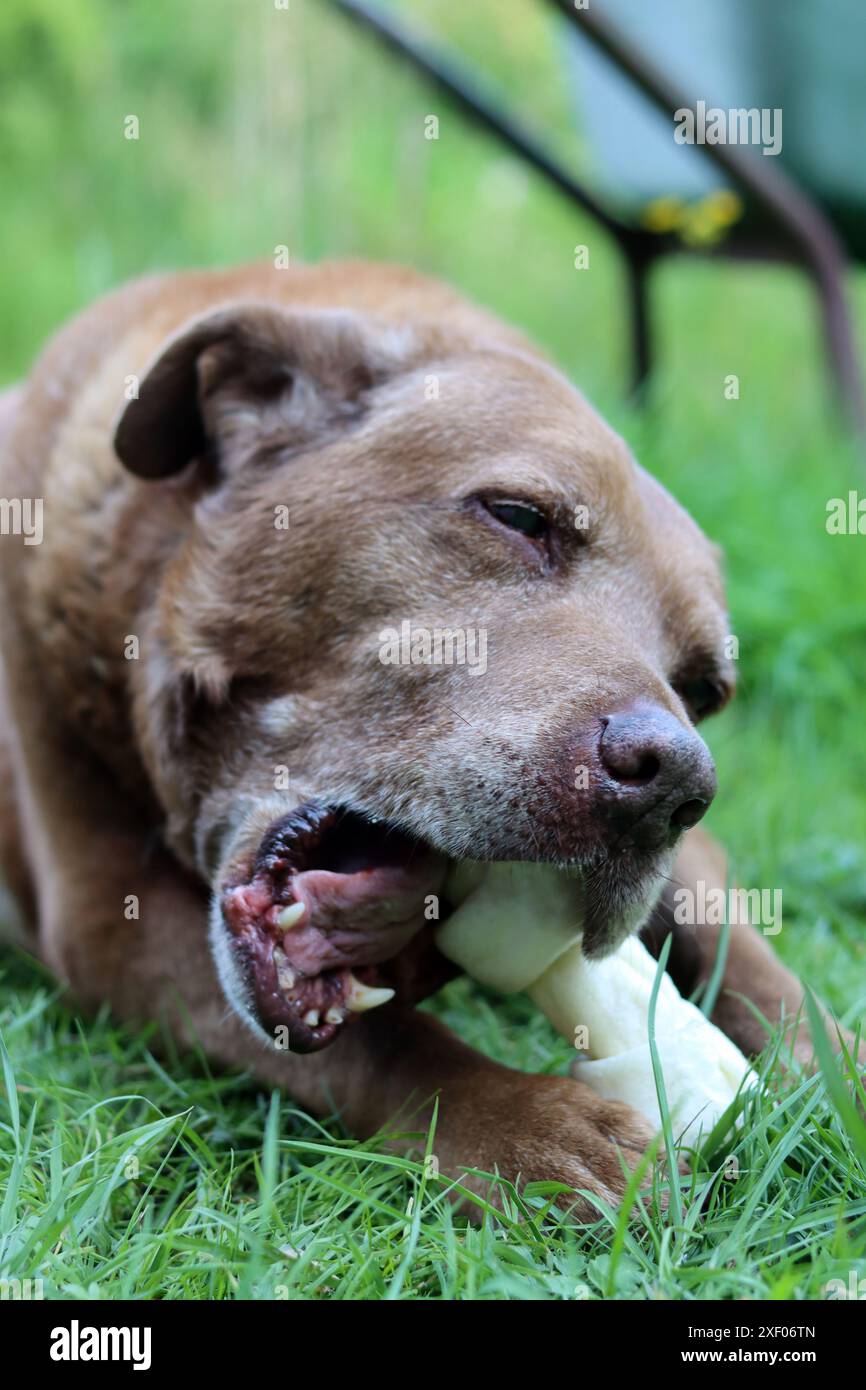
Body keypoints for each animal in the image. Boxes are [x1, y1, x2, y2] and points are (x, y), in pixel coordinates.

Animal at [0, 262, 828, 1217]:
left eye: (705, 688)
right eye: (518, 516)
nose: (671, 785)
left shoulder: (698, 863)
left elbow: (742, 943)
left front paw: (829, 1064)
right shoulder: (109, 919)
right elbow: (386, 1039)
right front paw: (530, 1127)